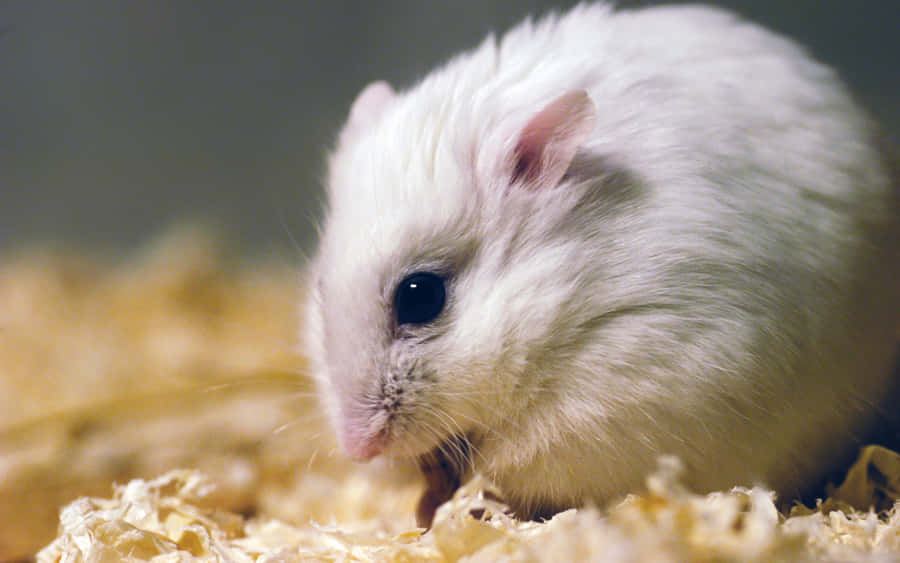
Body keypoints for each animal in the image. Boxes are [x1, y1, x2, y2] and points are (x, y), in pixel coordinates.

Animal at [306, 2, 900, 521]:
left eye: (421, 295)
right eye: (319, 288)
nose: (356, 449)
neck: (569, 288)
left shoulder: (628, 389)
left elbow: (513, 460)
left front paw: (468, 495)